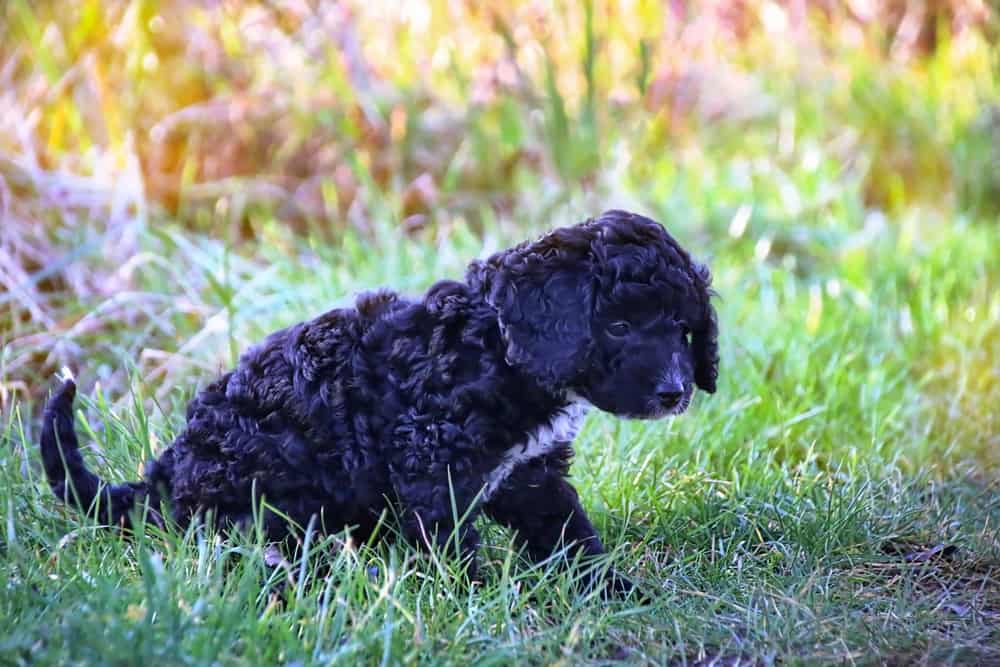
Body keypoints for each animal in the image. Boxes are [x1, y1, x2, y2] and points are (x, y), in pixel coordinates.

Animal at [39, 210, 716, 596]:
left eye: (684, 330)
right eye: (619, 327)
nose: (675, 392)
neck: (496, 348)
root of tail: (162, 477)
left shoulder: (530, 471)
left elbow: (567, 532)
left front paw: (612, 589)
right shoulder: (433, 461)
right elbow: (450, 543)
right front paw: (474, 598)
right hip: (260, 494)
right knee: (253, 548)